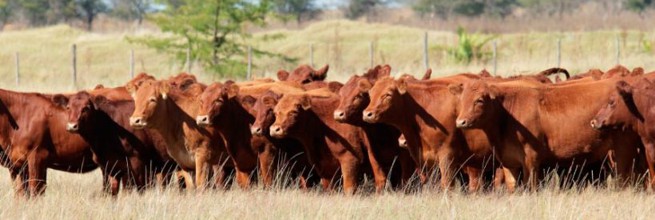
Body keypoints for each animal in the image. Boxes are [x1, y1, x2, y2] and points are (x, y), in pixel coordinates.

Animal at [452, 78, 640, 191]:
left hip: (623, 148)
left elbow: (531, 186)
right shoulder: (508, 161)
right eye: (462, 100)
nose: (461, 122)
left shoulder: (532, 159)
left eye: (479, 100)